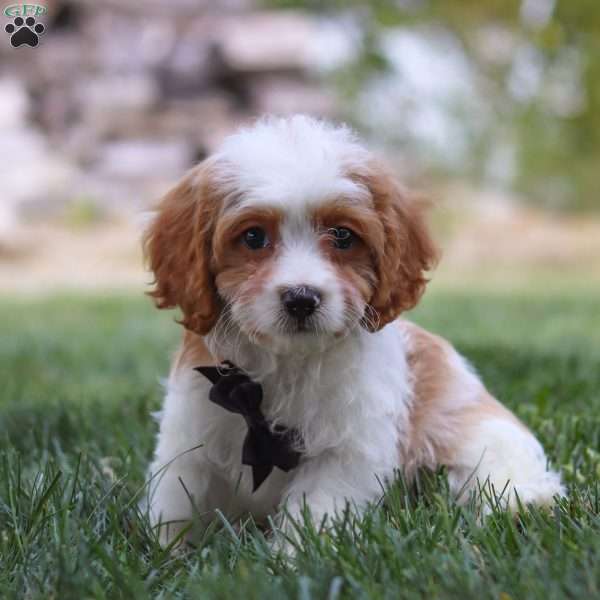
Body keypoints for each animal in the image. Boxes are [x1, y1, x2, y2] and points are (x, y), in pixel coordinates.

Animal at [143, 115, 564, 548]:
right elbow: (178, 499)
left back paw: (521, 506)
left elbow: (315, 508)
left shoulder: (346, 450)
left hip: (474, 427)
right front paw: (168, 550)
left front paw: (292, 555)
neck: (288, 361)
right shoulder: (191, 430)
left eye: (343, 236)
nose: (301, 298)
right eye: (253, 237)